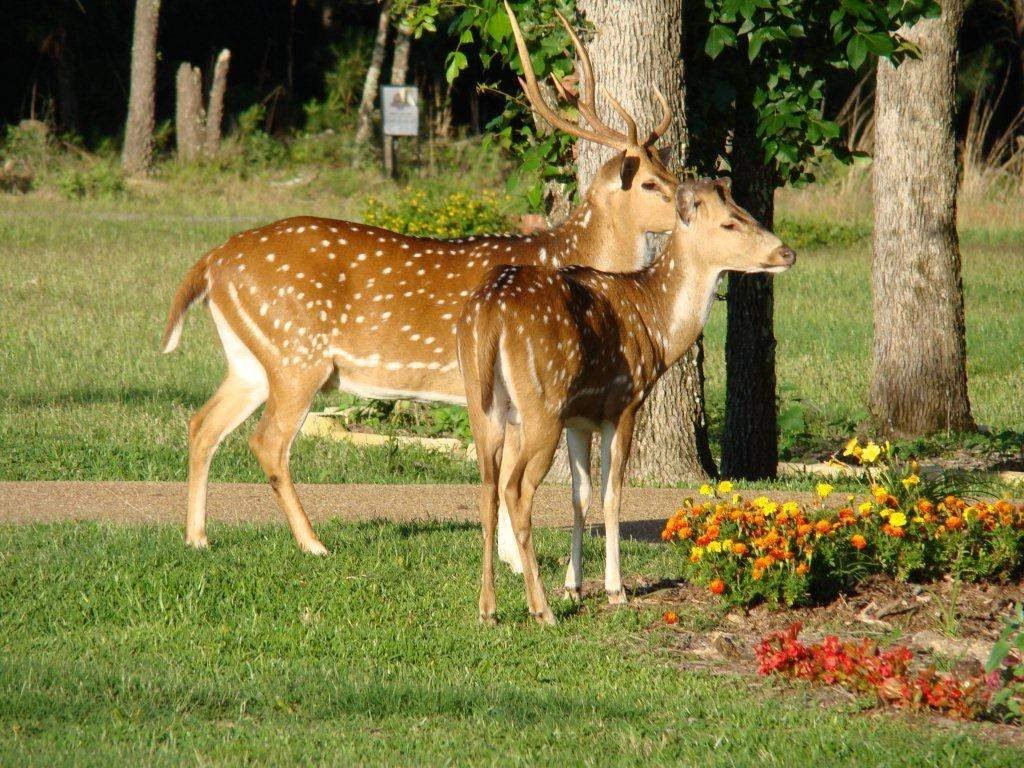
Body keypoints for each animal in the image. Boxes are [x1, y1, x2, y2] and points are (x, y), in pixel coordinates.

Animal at [161, 6, 679, 561]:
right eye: (651, 183)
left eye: (669, 172)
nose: (694, 201)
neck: (565, 255)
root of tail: (212, 261)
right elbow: (506, 475)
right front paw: (515, 559)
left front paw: (507, 557)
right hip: (296, 353)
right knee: (268, 442)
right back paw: (313, 543)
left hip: (251, 357)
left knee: (202, 424)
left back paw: (197, 537)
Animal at [460, 180, 794, 626]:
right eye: (730, 222)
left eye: (749, 213)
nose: (787, 253)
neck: (658, 326)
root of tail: (490, 316)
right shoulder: (624, 403)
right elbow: (612, 492)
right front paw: (614, 589)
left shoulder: (580, 417)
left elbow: (580, 495)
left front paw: (574, 587)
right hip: (542, 406)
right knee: (516, 489)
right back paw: (540, 609)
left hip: (484, 407)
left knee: (487, 489)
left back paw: (488, 609)